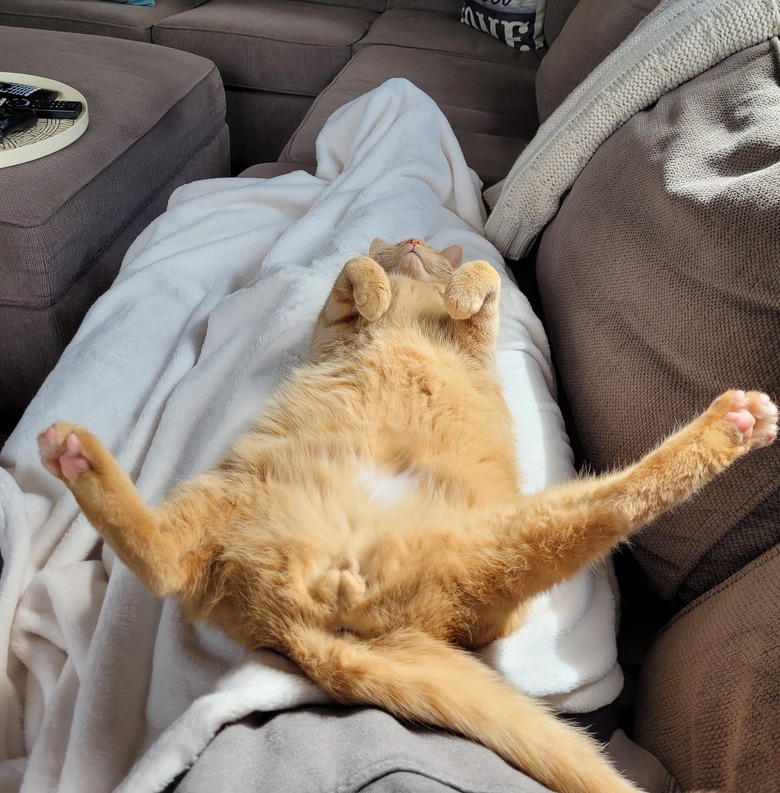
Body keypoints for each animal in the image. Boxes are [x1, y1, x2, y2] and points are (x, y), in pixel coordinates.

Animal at [39, 237, 776, 792]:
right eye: (401, 240)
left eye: (429, 246)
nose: (419, 242)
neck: (416, 307)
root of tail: (317, 623)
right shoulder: (332, 322)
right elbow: (352, 273)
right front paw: (379, 287)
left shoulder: (473, 335)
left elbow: (482, 283)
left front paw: (453, 287)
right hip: (232, 498)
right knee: (162, 561)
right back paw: (75, 454)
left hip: (502, 538)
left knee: (617, 504)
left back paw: (734, 424)